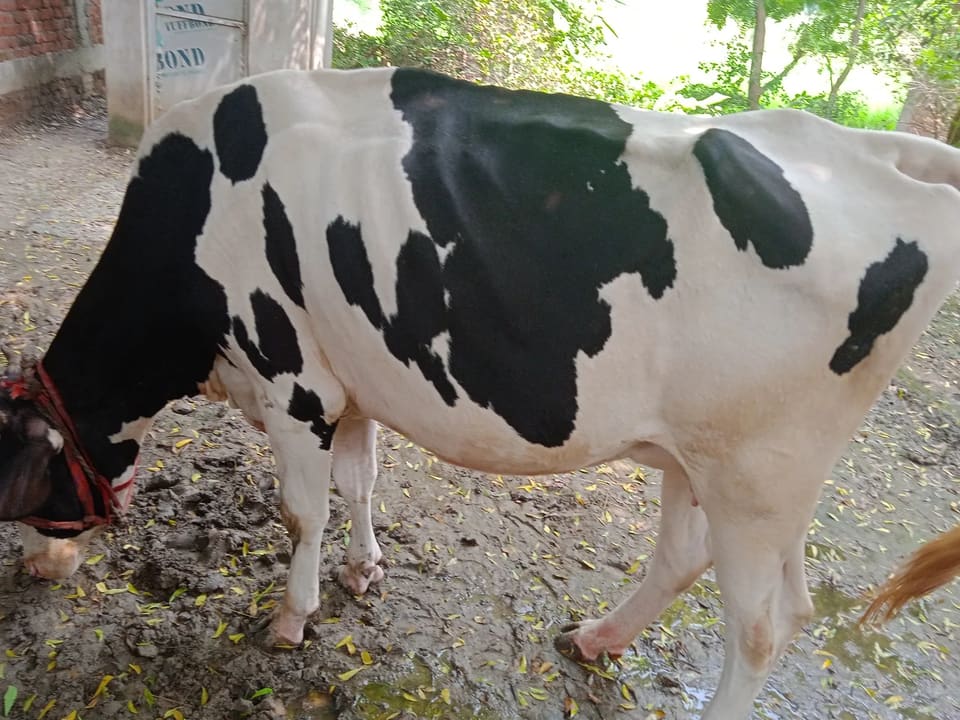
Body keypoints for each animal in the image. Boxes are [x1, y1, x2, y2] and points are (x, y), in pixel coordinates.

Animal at [0, 67, 958, 719]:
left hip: (760, 474)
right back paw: (596, 638)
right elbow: (360, 482)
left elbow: (300, 513)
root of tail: (874, 151)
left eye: (29, 492)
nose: (35, 569)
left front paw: (292, 617)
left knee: (763, 626)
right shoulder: (350, 383)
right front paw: (364, 570)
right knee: (698, 563)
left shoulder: (292, 382)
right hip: (715, 459)